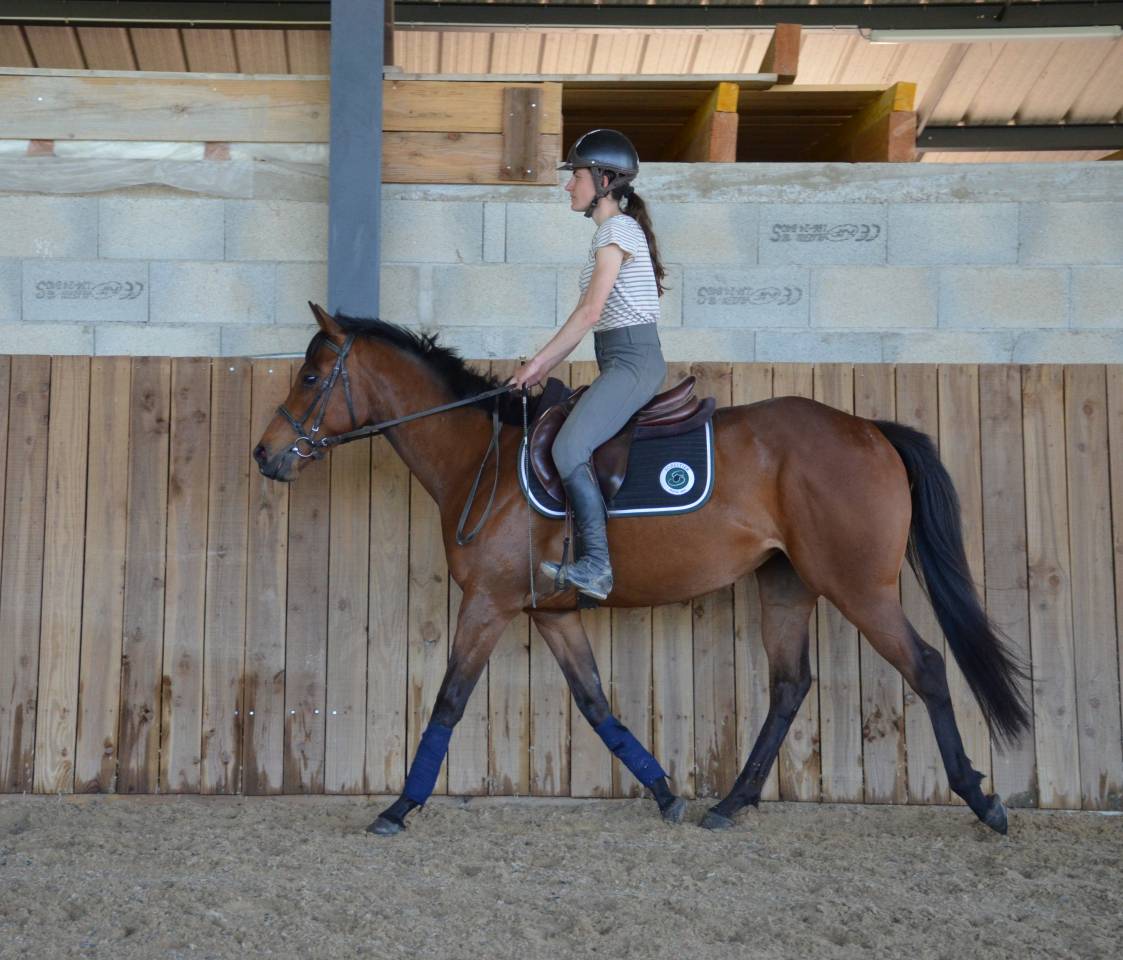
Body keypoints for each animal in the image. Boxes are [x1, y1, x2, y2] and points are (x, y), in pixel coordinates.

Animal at [253, 303, 1028, 836]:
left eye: (313, 375)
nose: (265, 454)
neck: (483, 461)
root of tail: (869, 429)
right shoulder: (550, 615)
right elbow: (597, 706)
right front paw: (665, 792)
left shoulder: (488, 605)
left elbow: (448, 701)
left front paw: (400, 805)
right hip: (785, 585)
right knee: (788, 687)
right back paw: (729, 802)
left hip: (858, 588)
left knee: (925, 667)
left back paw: (981, 799)